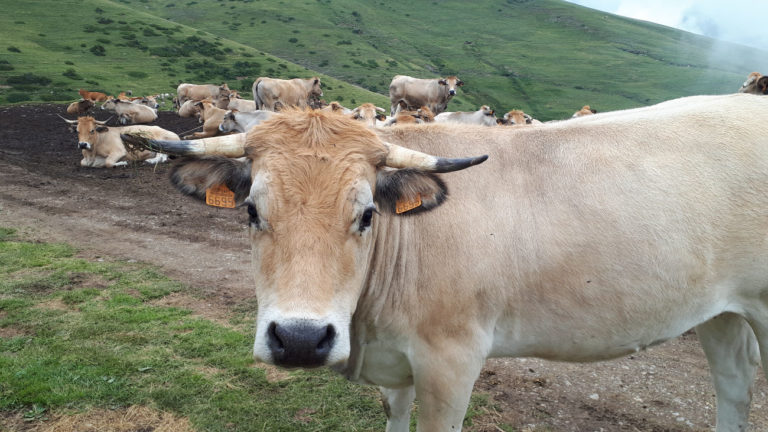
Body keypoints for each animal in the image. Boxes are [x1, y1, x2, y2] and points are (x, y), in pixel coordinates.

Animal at [120, 94, 768, 431]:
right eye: (252, 210)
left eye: (366, 215)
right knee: (734, 382)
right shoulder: (399, 364)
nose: (300, 339)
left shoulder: (452, 360)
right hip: (718, 311)